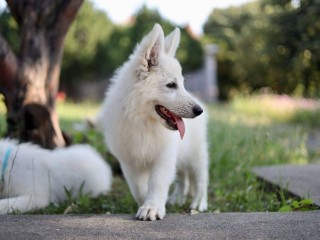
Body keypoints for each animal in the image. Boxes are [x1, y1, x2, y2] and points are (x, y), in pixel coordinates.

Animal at [96, 23, 209, 220]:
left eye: (182, 84)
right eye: (171, 85)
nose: (199, 110)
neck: (143, 121)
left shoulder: (164, 156)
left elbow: (157, 183)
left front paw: (152, 207)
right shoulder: (129, 162)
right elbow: (139, 189)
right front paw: (145, 204)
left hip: (196, 153)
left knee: (202, 178)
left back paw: (199, 203)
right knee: (183, 177)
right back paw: (178, 198)